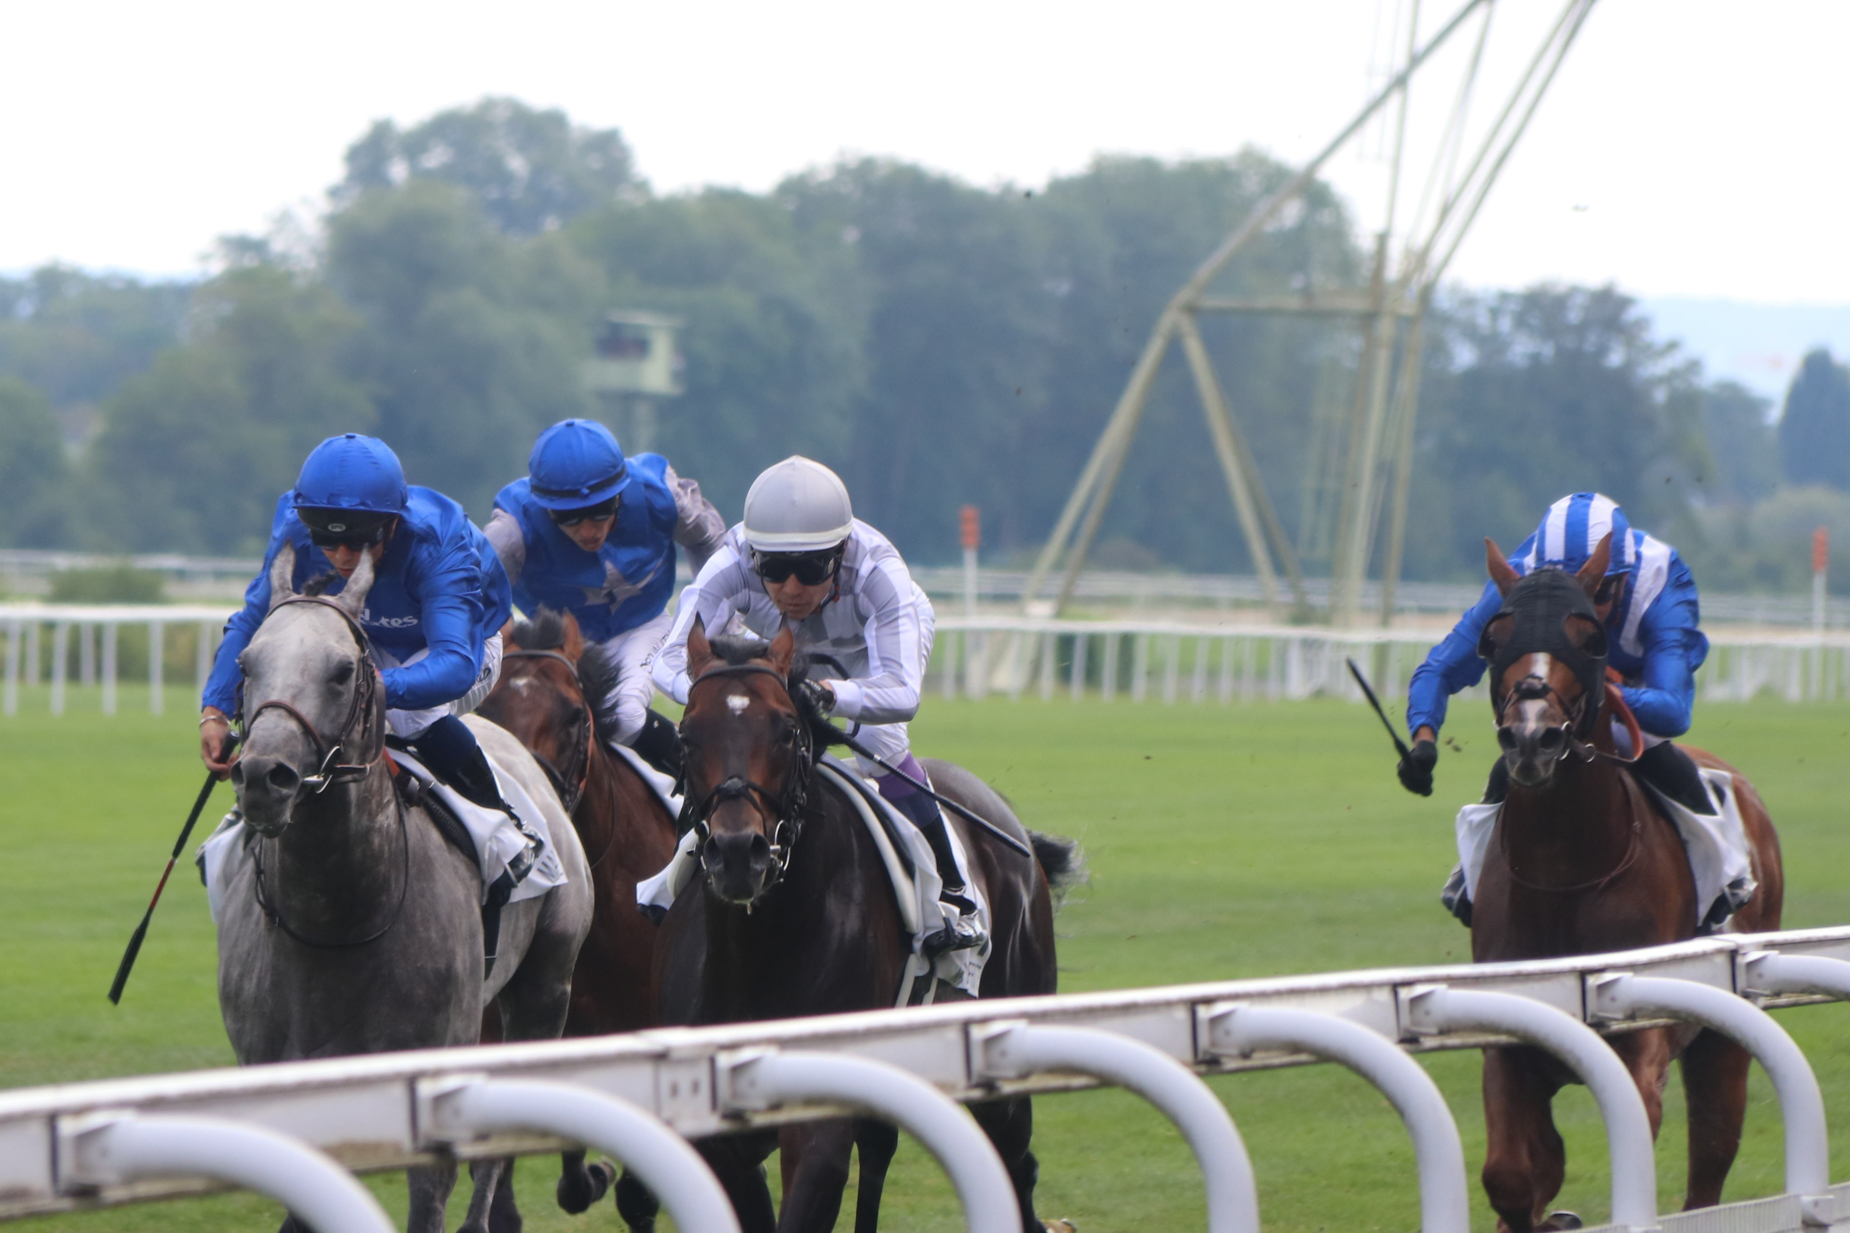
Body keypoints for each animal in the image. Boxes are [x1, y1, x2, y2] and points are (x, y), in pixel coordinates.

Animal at [654, 625, 1080, 1229]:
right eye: (688, 734)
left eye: (788, 730)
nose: (739, 854)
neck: (757, 954)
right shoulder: (716, 1139)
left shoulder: (818, 1121)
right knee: (883, 1149)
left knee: (1017, 1166)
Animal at [1472, 529, 1776, 1229]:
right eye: (1495, 636)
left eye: (1590, 638)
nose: (1531, 737)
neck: (1563, 875)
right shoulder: (1510, 1034)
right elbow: (1513, 1175)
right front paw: (1547, 1212)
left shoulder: (1643, 1041)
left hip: (1723, 1044)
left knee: (1709, 1167)